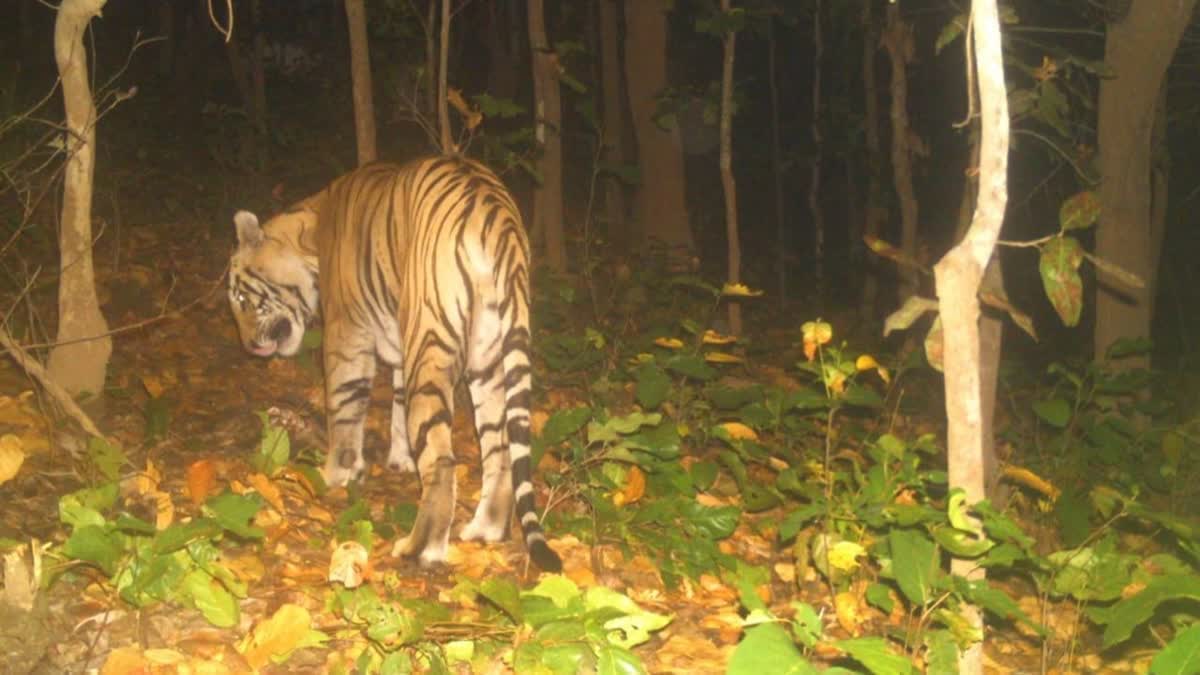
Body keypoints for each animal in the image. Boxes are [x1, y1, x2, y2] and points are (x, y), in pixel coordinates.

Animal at [228, 154, 561, 569]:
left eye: (241, 299)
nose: (247, 345)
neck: (309, 232)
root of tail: (494, 209)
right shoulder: (402, 345)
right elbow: (398, 412)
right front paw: (398, 461)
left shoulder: (347, 333)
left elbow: (344, 407)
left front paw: (334, 474)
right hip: (486, 354)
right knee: (498, 448)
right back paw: (485, 529)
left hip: (431, 339)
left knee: (443, 459)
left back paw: (420, 548)